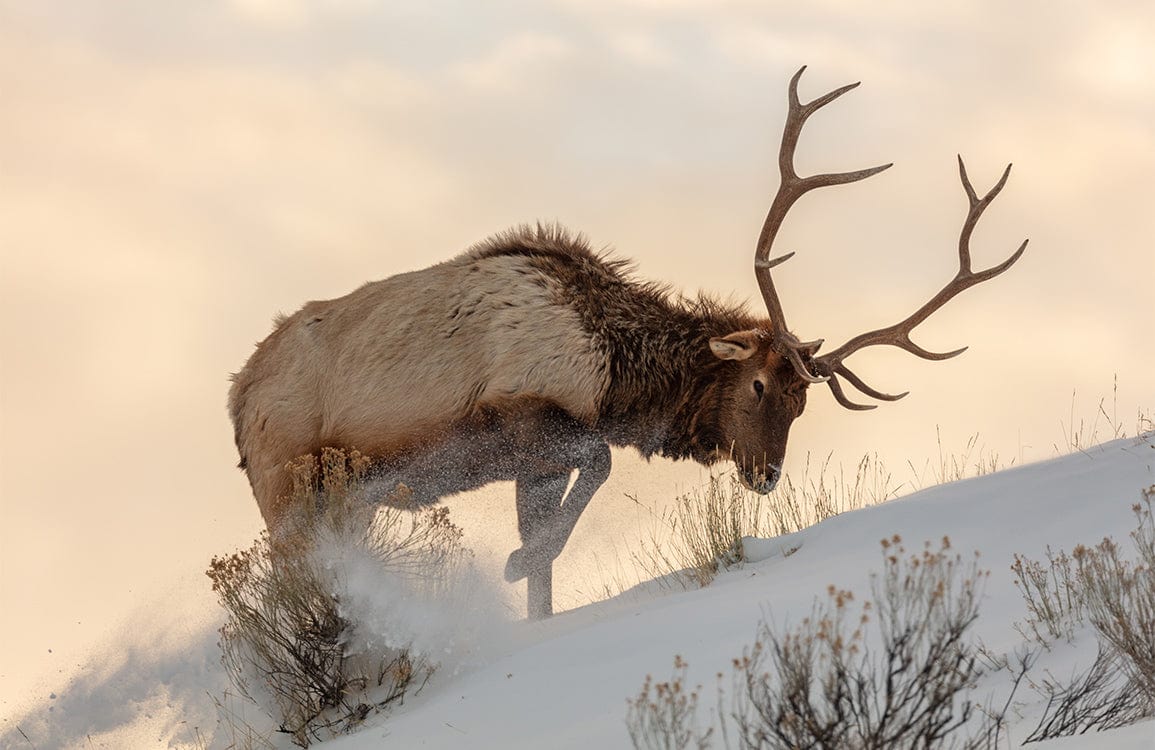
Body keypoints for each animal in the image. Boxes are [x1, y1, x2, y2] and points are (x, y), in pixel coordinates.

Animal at [228, 67, 1027, 618]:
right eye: (759, 384)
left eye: (804, 404)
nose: (765, 475)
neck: (615, 374)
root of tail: (236, 399)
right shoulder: (522, 415)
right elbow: (599, 467)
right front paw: (512, 562)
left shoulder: (530, 462)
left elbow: (551, 560)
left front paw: (528, 582)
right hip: (286, 490)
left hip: (345, 502)